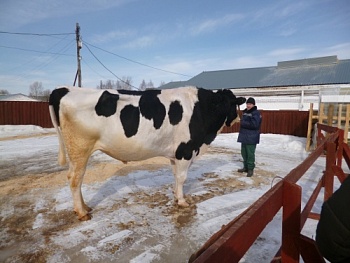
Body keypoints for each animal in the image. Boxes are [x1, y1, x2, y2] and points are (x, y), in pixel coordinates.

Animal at [48, 86, 246, 221]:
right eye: (232, 105)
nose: (237, 118)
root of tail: (63, 89)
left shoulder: (175, 153)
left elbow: (175, 176)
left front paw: (176, 195)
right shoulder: (185, 150)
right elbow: (182, 177)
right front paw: (182, 201)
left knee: (76, 179)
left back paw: (85, 207)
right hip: (80, 149)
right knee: (75, 179)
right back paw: (82, 212)